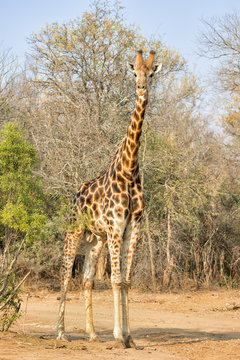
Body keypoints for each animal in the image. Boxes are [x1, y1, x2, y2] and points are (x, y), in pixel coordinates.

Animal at [56, 49, 161, 348]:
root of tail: (75, 194)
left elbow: (125, 282)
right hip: (74, 232)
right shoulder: (116, 226)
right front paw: (117, 338)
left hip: (95, 240)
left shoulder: (132, 227)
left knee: (87, 280)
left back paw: (91, 334)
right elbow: (115, 280)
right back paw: (61, 332)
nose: (141, 88)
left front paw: (130, 338)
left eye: (151, 73)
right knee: (64, 276)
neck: (129, 170)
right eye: (134, 72)